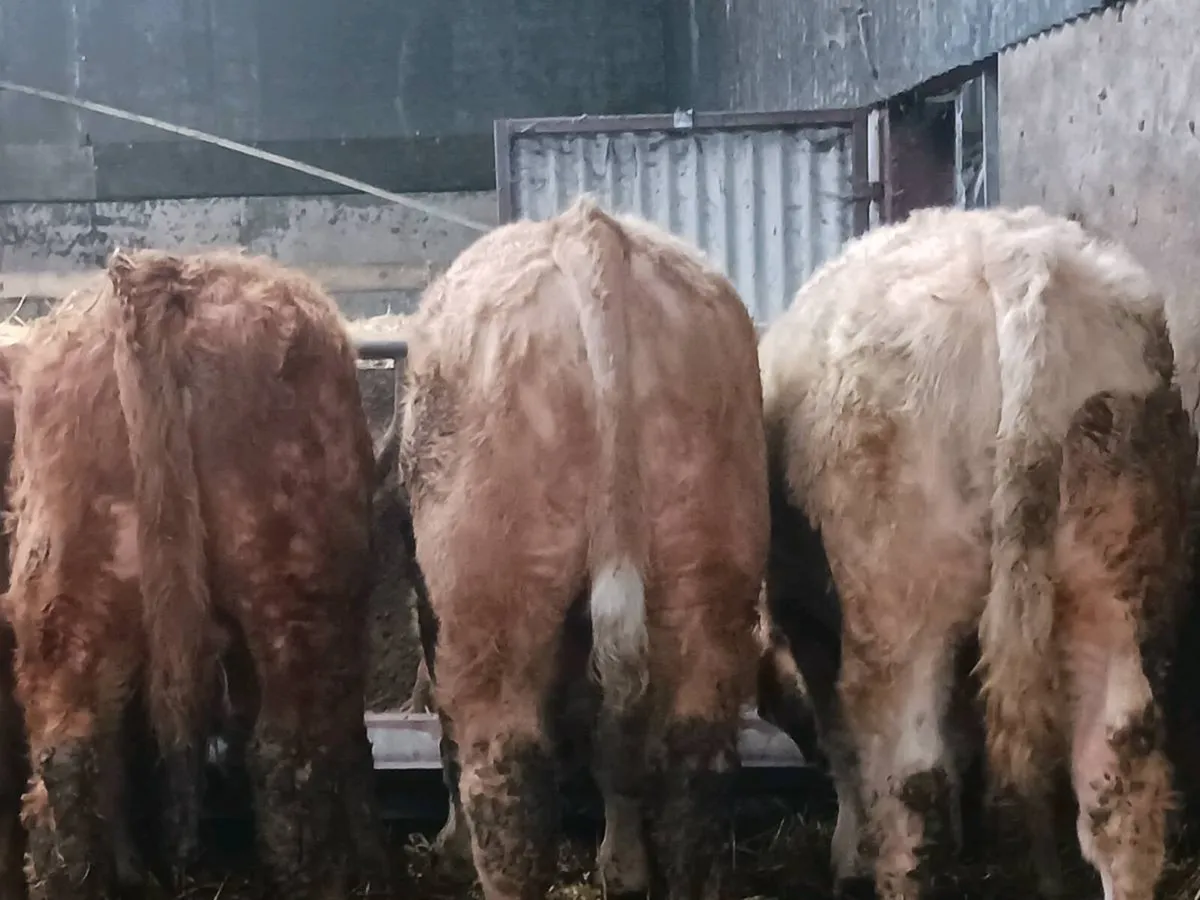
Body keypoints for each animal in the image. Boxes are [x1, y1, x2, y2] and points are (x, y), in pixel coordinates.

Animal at [396, 196, 769, 900]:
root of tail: (587, 229)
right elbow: (613, 749)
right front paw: (621, 866)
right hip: (707, 568)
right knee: (693, 767)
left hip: (496, 597)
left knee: (505, 778)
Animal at [758, 205, 1196, 900]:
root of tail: (1016, 259)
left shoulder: (808, 621)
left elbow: (842, 740)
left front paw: (847, 854)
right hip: (1113, 568)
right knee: (1119, 768)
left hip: (900, 600)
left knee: (911, 781)